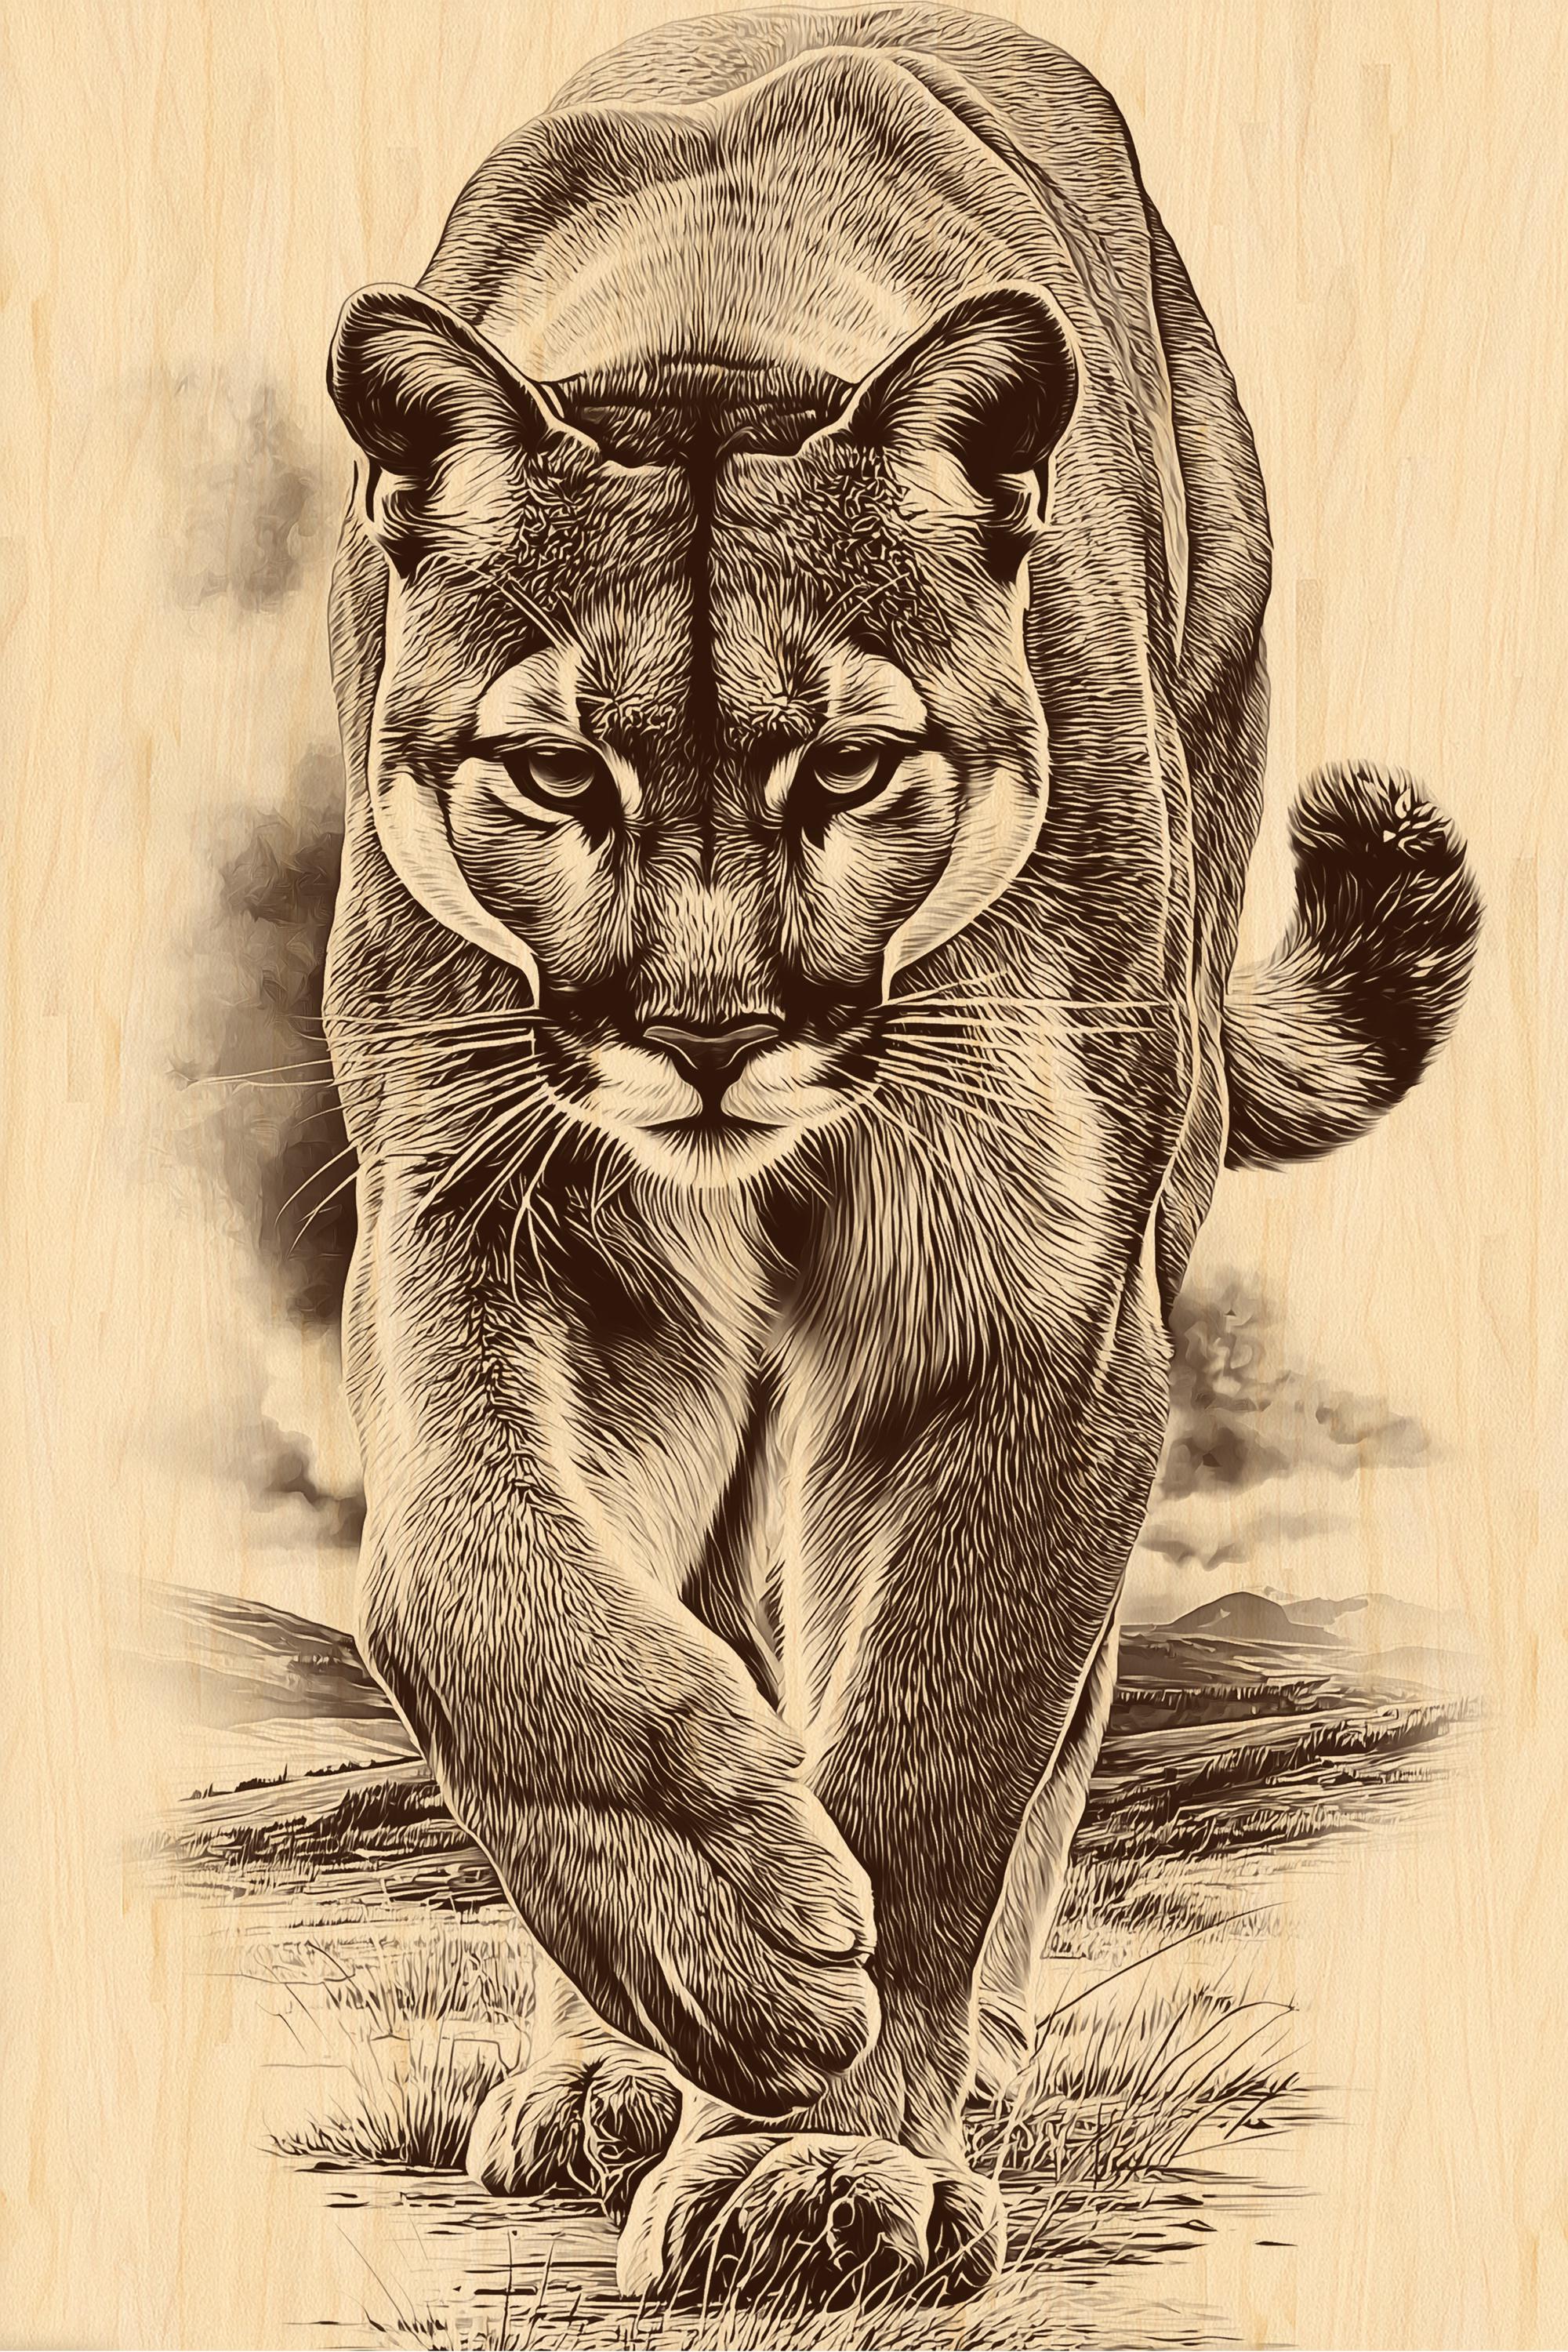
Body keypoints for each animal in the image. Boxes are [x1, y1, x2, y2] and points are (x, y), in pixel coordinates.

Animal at [321, 3, 1478, 2306]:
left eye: (849, 766)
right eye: (553, 773)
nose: (702, 1040)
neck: (715, 311)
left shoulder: (1021, 1291)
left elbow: (946, 1723)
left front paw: (815, 2157)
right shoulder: (480, 1204)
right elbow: (464, 1578)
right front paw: (736, 1963)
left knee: (1060, 1696)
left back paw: (970, 2066)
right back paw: (607, 2064)